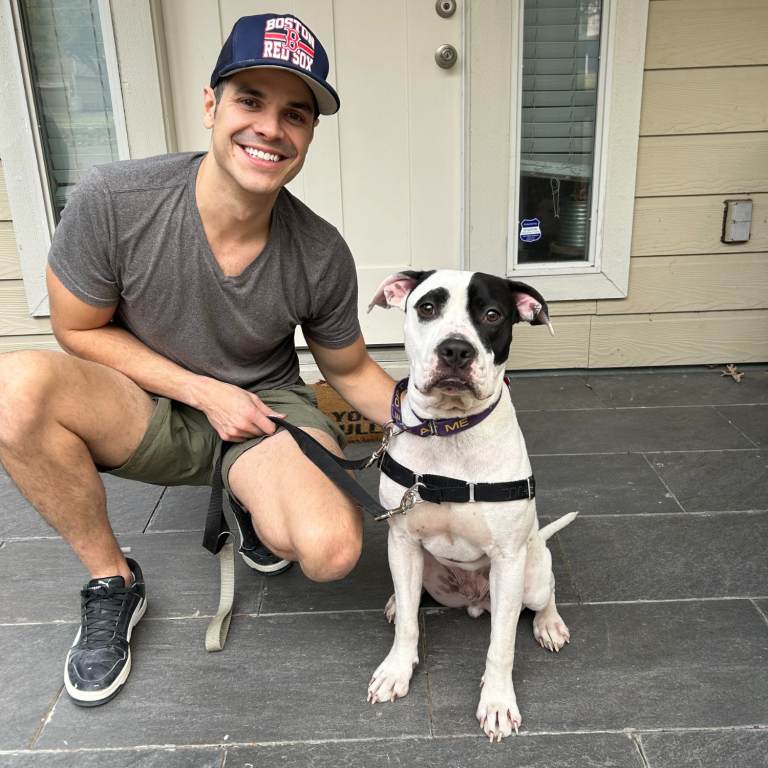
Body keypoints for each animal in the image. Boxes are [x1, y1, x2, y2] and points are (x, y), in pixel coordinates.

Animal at [366, 272, 576, 744]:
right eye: (426, 307)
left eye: (493, 314)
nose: (456, 350)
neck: (451, 431)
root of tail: (475, 598)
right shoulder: (402, 539)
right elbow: (409, 624)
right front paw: (395, 671)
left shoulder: (508, 559)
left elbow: (501, 646)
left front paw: (497, 703)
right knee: (411, 597)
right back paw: (395, 600)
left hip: (530, 572)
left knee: (546, 591)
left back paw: (548, 623)